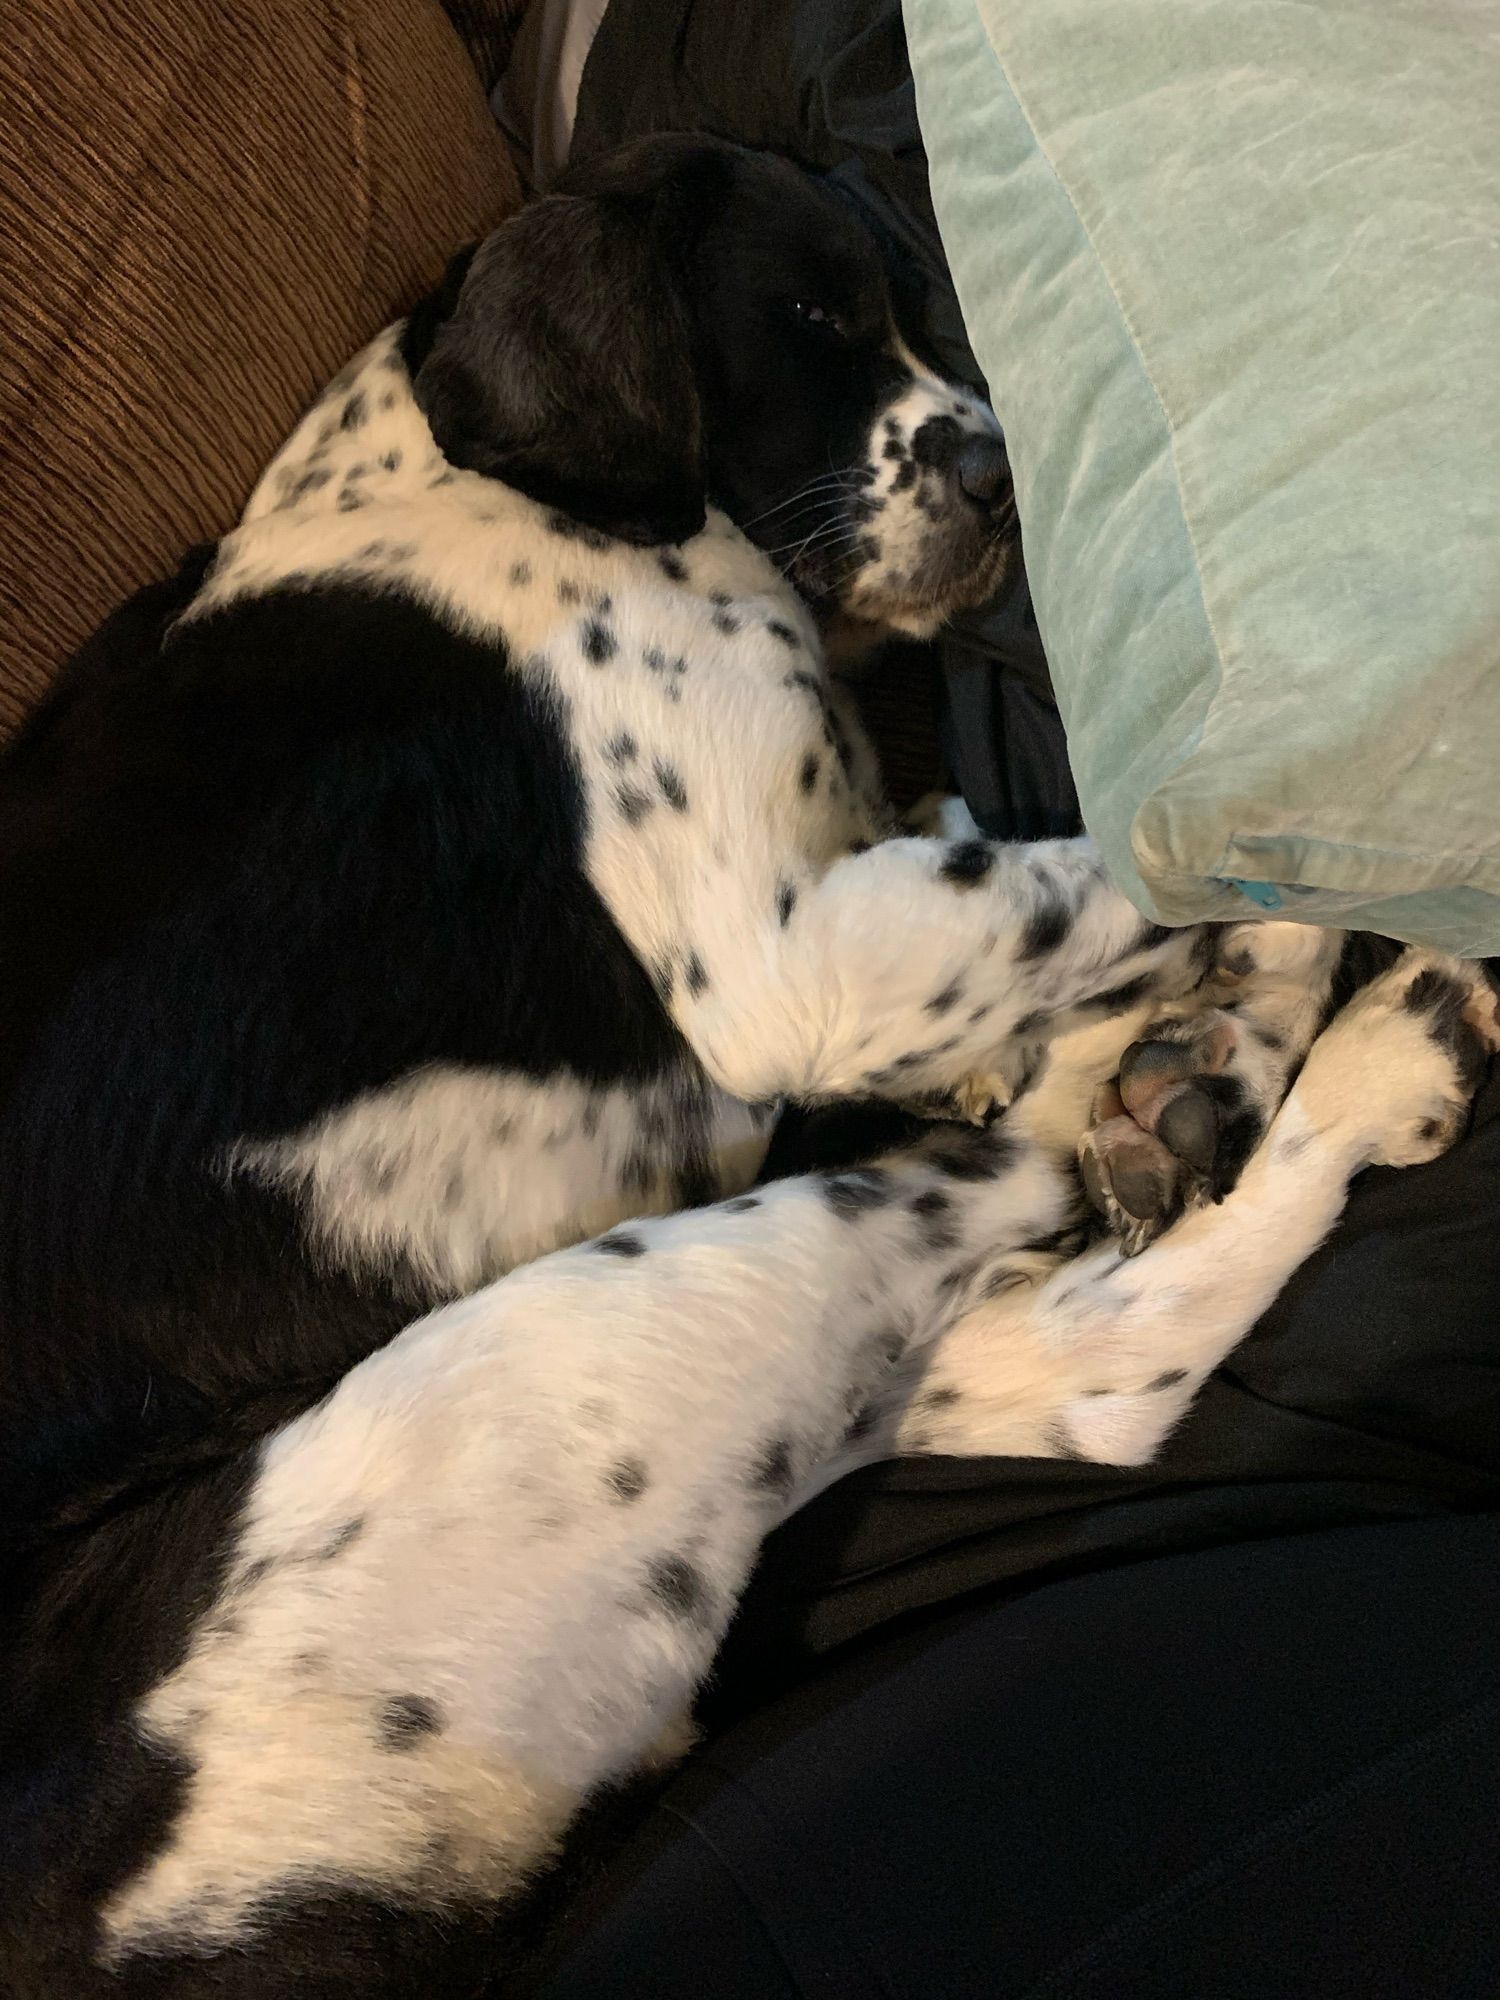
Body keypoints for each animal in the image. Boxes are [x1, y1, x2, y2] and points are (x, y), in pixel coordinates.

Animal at [5, 133, 1496, 1992]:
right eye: (813, 318)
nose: (1002, 479)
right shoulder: (793, 956)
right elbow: (1107, 866)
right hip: (592, 1338)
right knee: (1085, 1304)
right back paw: (1313, 1049)